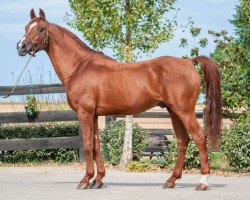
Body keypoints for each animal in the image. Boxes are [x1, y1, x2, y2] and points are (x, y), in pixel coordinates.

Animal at [16, 9, 222, 191]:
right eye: (27, 27)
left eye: (40, 28)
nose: (21, 47)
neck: (80, 67)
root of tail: (189, 62)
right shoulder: (94, 115)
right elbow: (97, 145)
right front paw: (98, 180)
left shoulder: (84, 113)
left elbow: (88, 145)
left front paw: (85, 180)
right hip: (173, 111)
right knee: (182, 140)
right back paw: (171, 180)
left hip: (184, 111)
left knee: (199, 137)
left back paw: (202, 182)